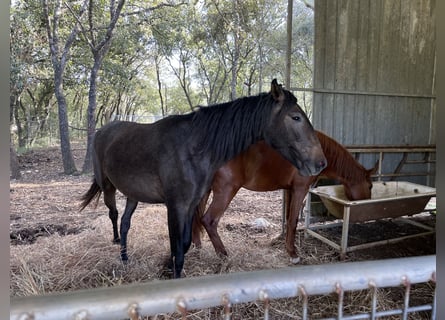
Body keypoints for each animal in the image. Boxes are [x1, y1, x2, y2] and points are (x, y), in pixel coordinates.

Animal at [192, 131, 374, 264]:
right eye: (370, 186)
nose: (367, 202)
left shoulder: (289, 190)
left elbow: (288, 220)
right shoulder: (300, 189)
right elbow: (293, 221)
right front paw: (293, 254)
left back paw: (197, 248)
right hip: (226, 191)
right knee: (209, 220)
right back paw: (223, 255)